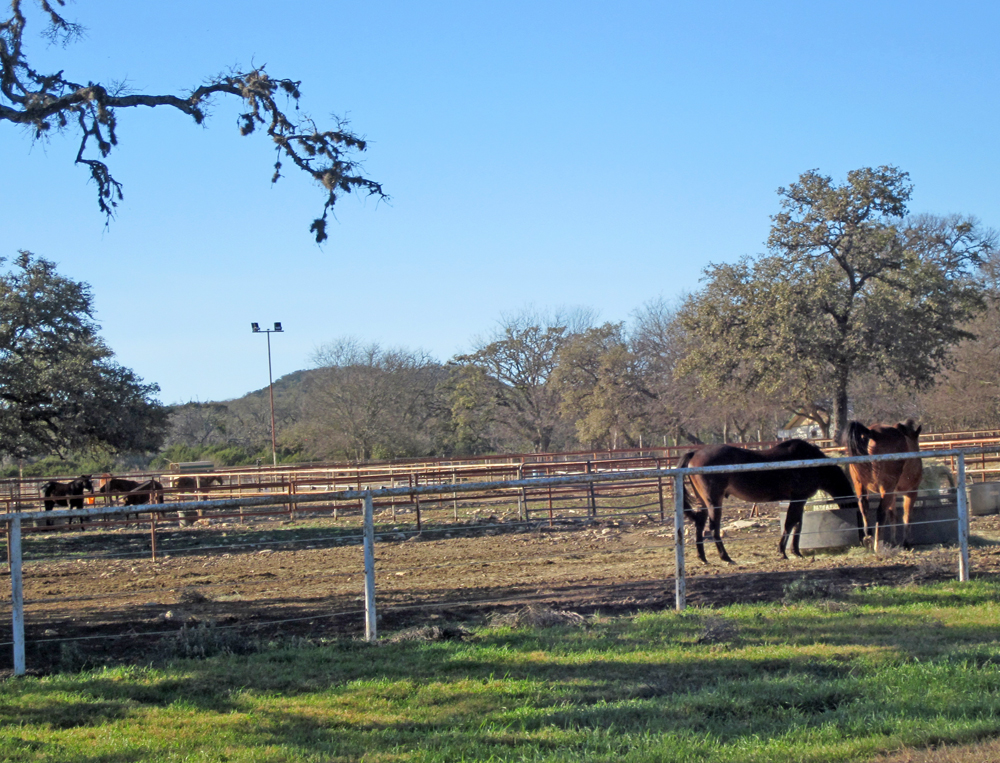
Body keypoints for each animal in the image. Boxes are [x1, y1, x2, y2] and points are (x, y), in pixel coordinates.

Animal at [680, 442, 860, 560]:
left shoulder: (800, 500)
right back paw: (726, 557)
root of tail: (695, 453)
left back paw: (702, 557)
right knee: (713, 527)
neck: (811, 462)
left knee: (700, 524)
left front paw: (796, 551)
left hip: (703, 502)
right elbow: (790, 523)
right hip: (714, 501)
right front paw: (783, 551)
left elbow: (798, 524)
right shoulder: (797, 498)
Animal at [844, 420, 920, 552]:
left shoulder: (893, 494)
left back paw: (868, 538)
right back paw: (878, 545)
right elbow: (907, 516)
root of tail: (872, 433)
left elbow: (893, 515)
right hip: (886, 487)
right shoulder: (911, 492)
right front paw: (905, 543)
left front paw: (894, 542)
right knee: (880, 512)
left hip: (860, 485)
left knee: (864, 506)